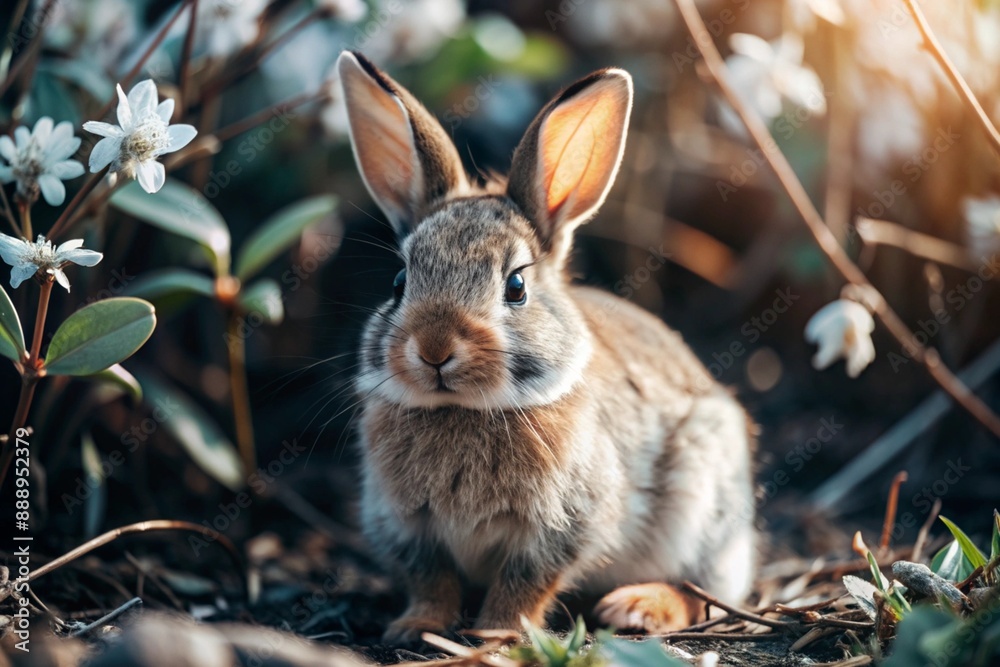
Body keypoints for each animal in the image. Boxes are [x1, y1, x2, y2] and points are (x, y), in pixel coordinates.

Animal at [337, 50, 758, 645]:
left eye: (516, 287)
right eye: (399, 283)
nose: (434, 348)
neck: (462, 410)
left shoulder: (564, 526)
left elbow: (526, 581)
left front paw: (499, 634)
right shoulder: (405, 525)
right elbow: (431, 578)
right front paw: (416, 626)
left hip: (706, 506)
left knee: (705, 592)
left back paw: (637, 607)